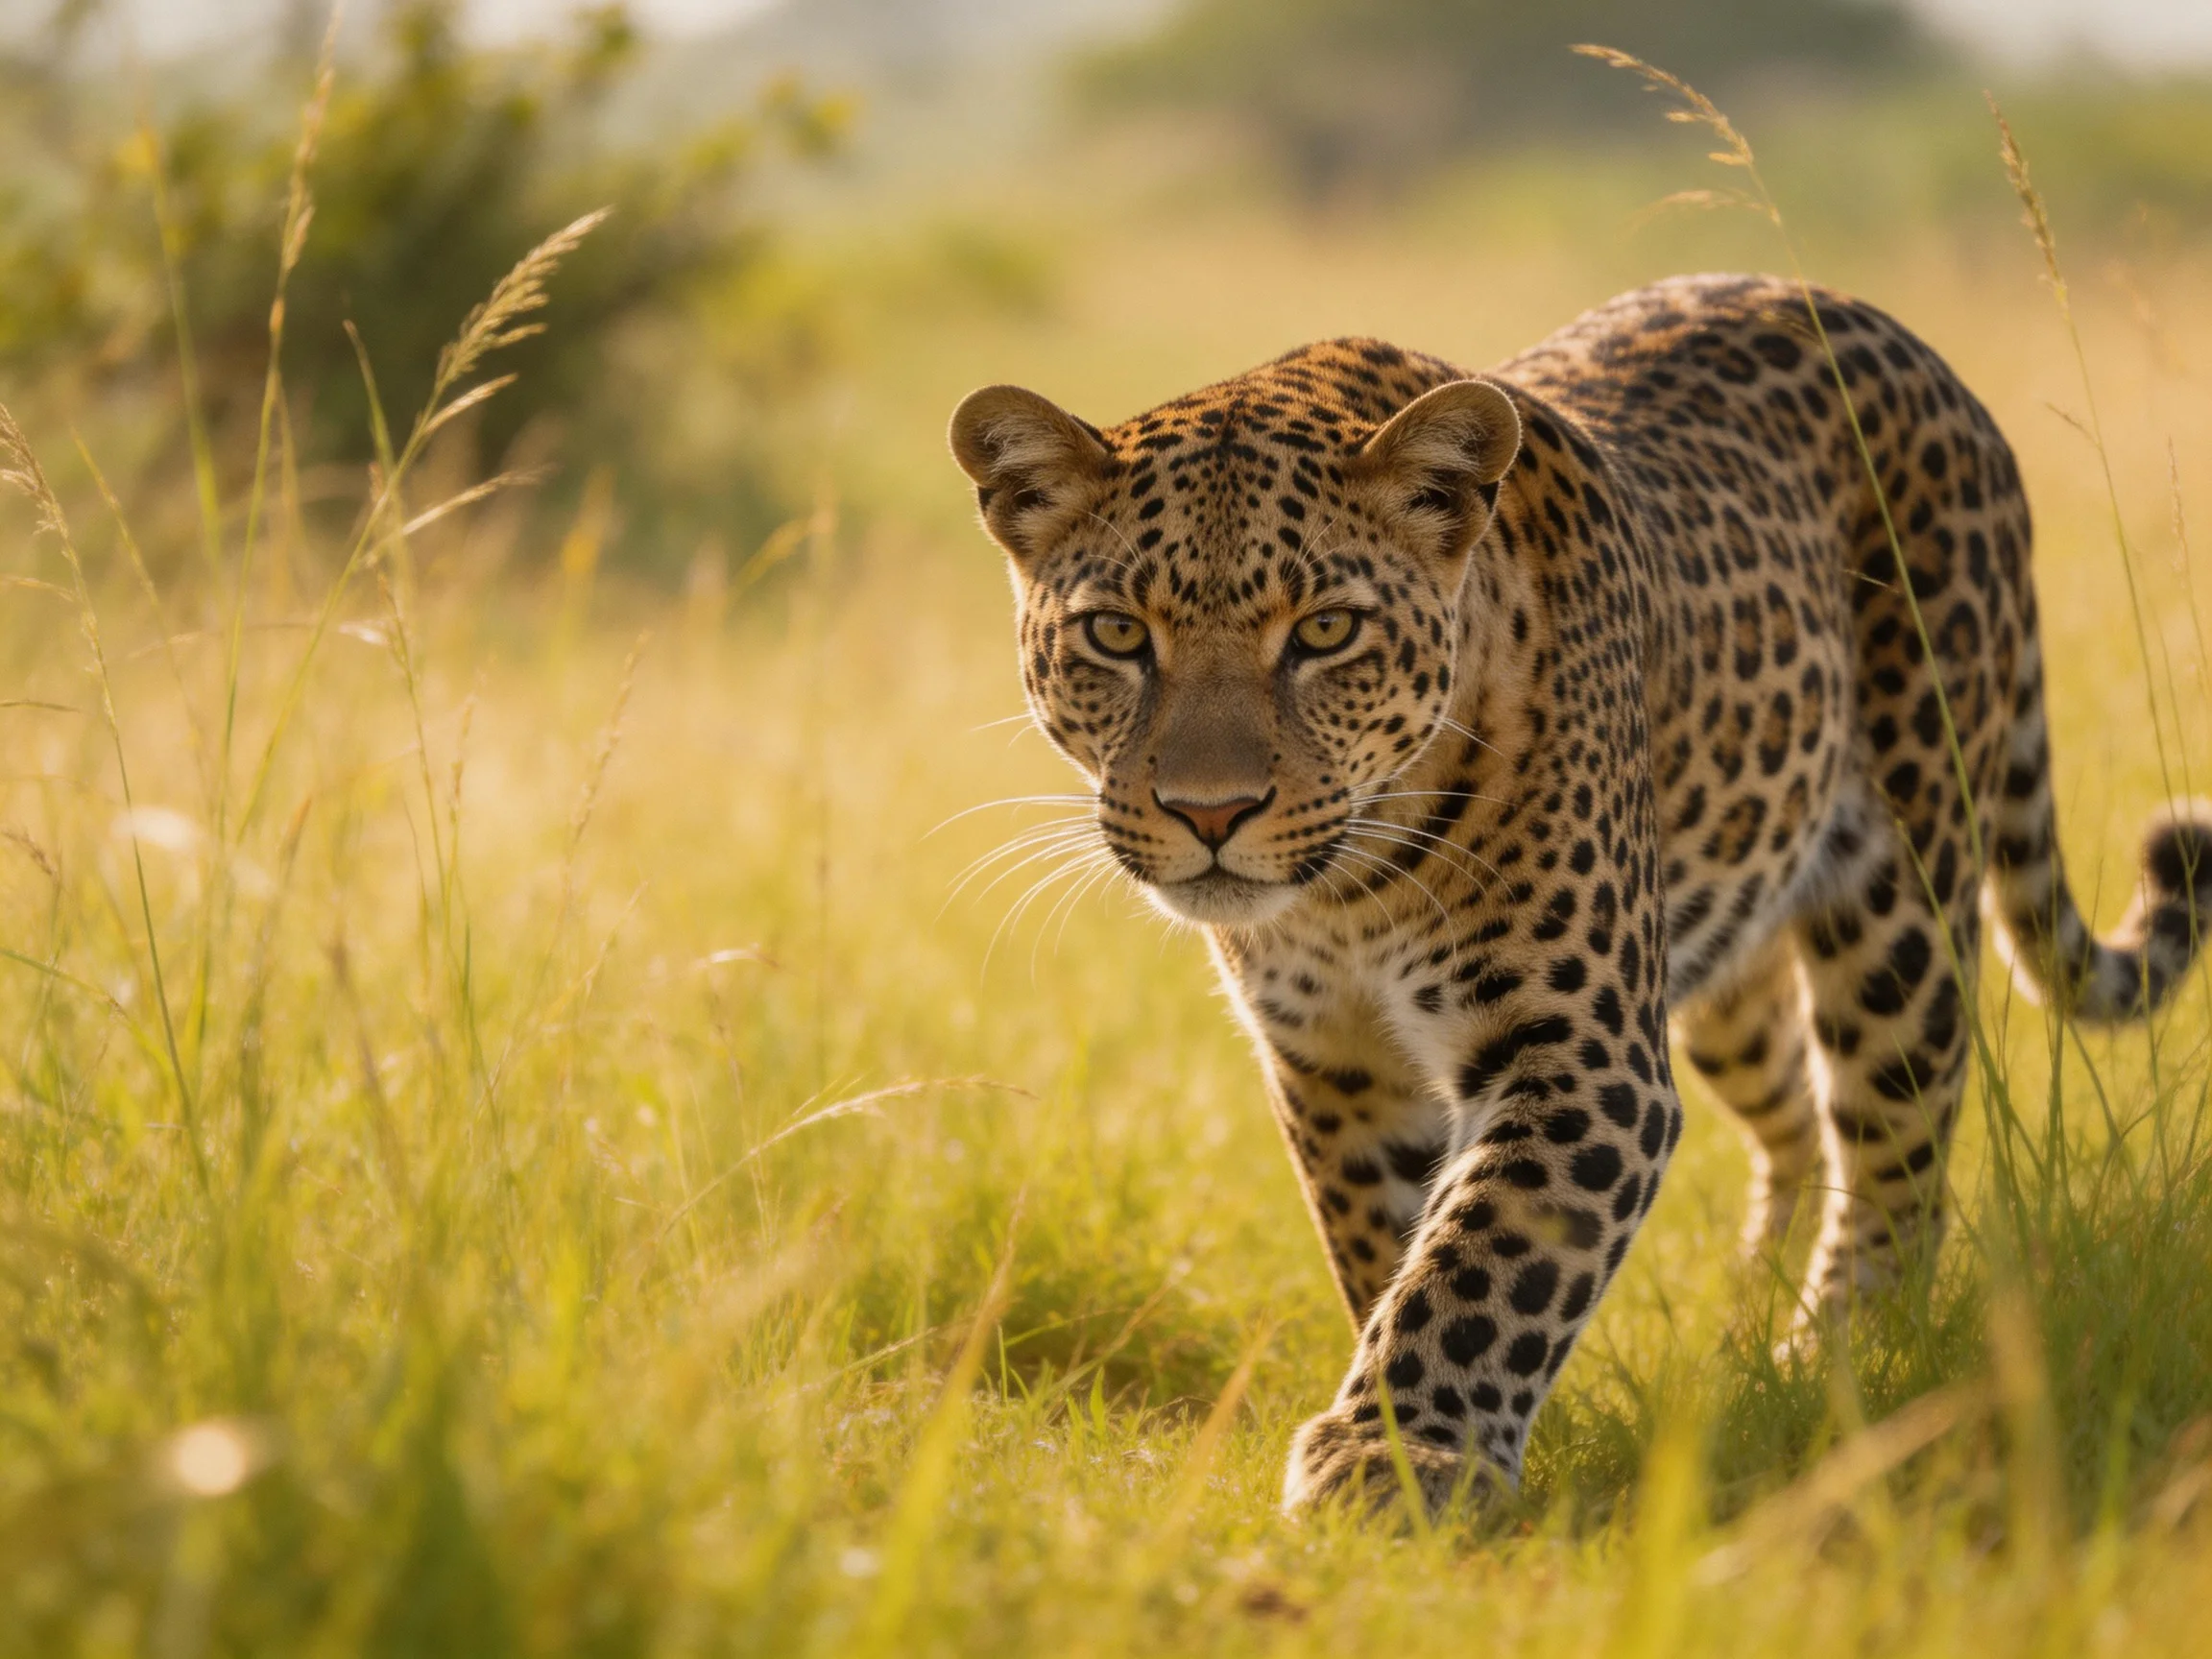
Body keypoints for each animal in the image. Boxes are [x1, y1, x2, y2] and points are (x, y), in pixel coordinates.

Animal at [946, 272, 2212, 1519]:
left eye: (1326, 631)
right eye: (1118, 634)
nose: (1211, 814)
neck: (1350, 894)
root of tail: (1894, 333)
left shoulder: (1580, 1050)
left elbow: (1484, 1258)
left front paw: (1404, 1456)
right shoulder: (1334, 1066)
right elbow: (1388, 1246)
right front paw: (1405, 1423)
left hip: (1903, 899)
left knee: (1899, 1148)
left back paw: (1844, 1365)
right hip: (1725, 955)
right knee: (1796, 1114)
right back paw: (1753, 1316)